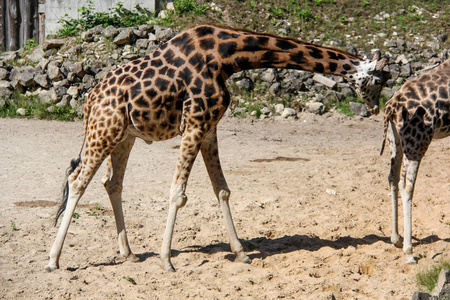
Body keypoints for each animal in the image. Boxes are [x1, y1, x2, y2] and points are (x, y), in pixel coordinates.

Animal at [46, 23, 390, 272]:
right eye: (378, 80)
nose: (375, 108)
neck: (227, 57)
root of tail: (91, 99)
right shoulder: (195, 123)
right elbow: (178, 193)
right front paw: (167, 261)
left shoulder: (210, 128)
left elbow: (222, 190)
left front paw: (241, 253)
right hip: (104, 130)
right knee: (77, 181)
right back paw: (54, 260)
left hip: (124, 135)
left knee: (112, 183)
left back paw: (128, 253)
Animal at [380, 57, 450, 264]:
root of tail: (390, 109)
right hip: (417, 144)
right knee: (406, 186)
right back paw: (409, 251)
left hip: (396, 141)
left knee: (392, 178)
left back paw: (396, 238)